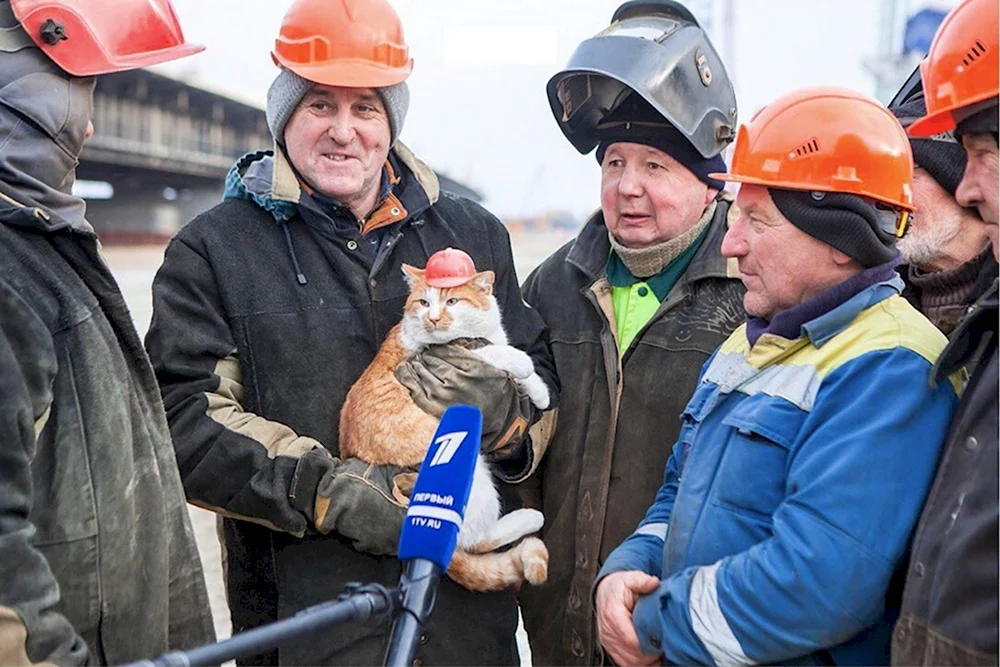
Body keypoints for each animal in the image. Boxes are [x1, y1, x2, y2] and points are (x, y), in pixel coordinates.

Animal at [340, 260, 552, 588]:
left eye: (452, 301)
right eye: (424, 303)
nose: (434, 317)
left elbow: (518, 376)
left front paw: (540, 393)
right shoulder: (461, 352)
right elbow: (497, 354)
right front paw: (522, 363)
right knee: (472, 539)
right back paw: (529, 518)